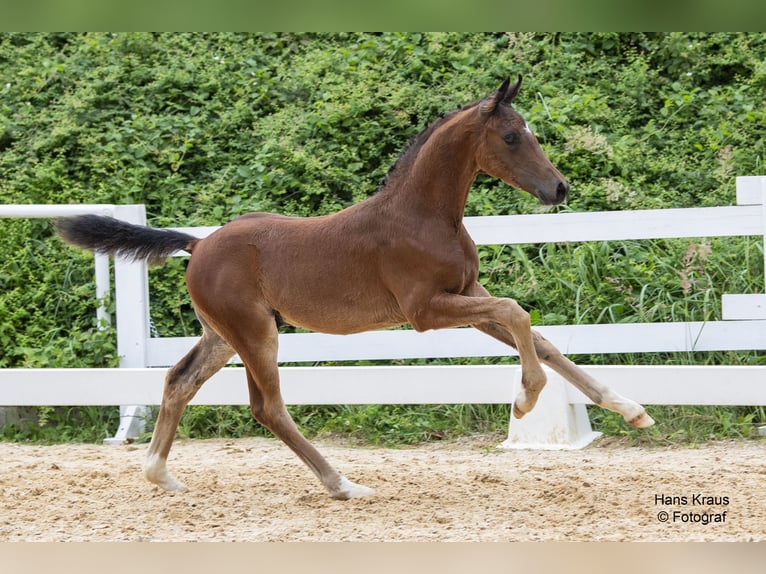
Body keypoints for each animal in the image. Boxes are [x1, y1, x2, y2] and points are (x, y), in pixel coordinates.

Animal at [58, 76, 656, 500]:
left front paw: (630, 409)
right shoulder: (426, 310)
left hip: (222, 334)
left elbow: (540, 335)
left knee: (180, 382)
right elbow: (518, 312)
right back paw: (343, 484)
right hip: (254, 333)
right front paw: (526, 399)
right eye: (511, 136)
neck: (424, 216)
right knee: (267, 407)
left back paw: (160, 474)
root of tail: (198, 242)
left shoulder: (467, 294)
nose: (559, 188)